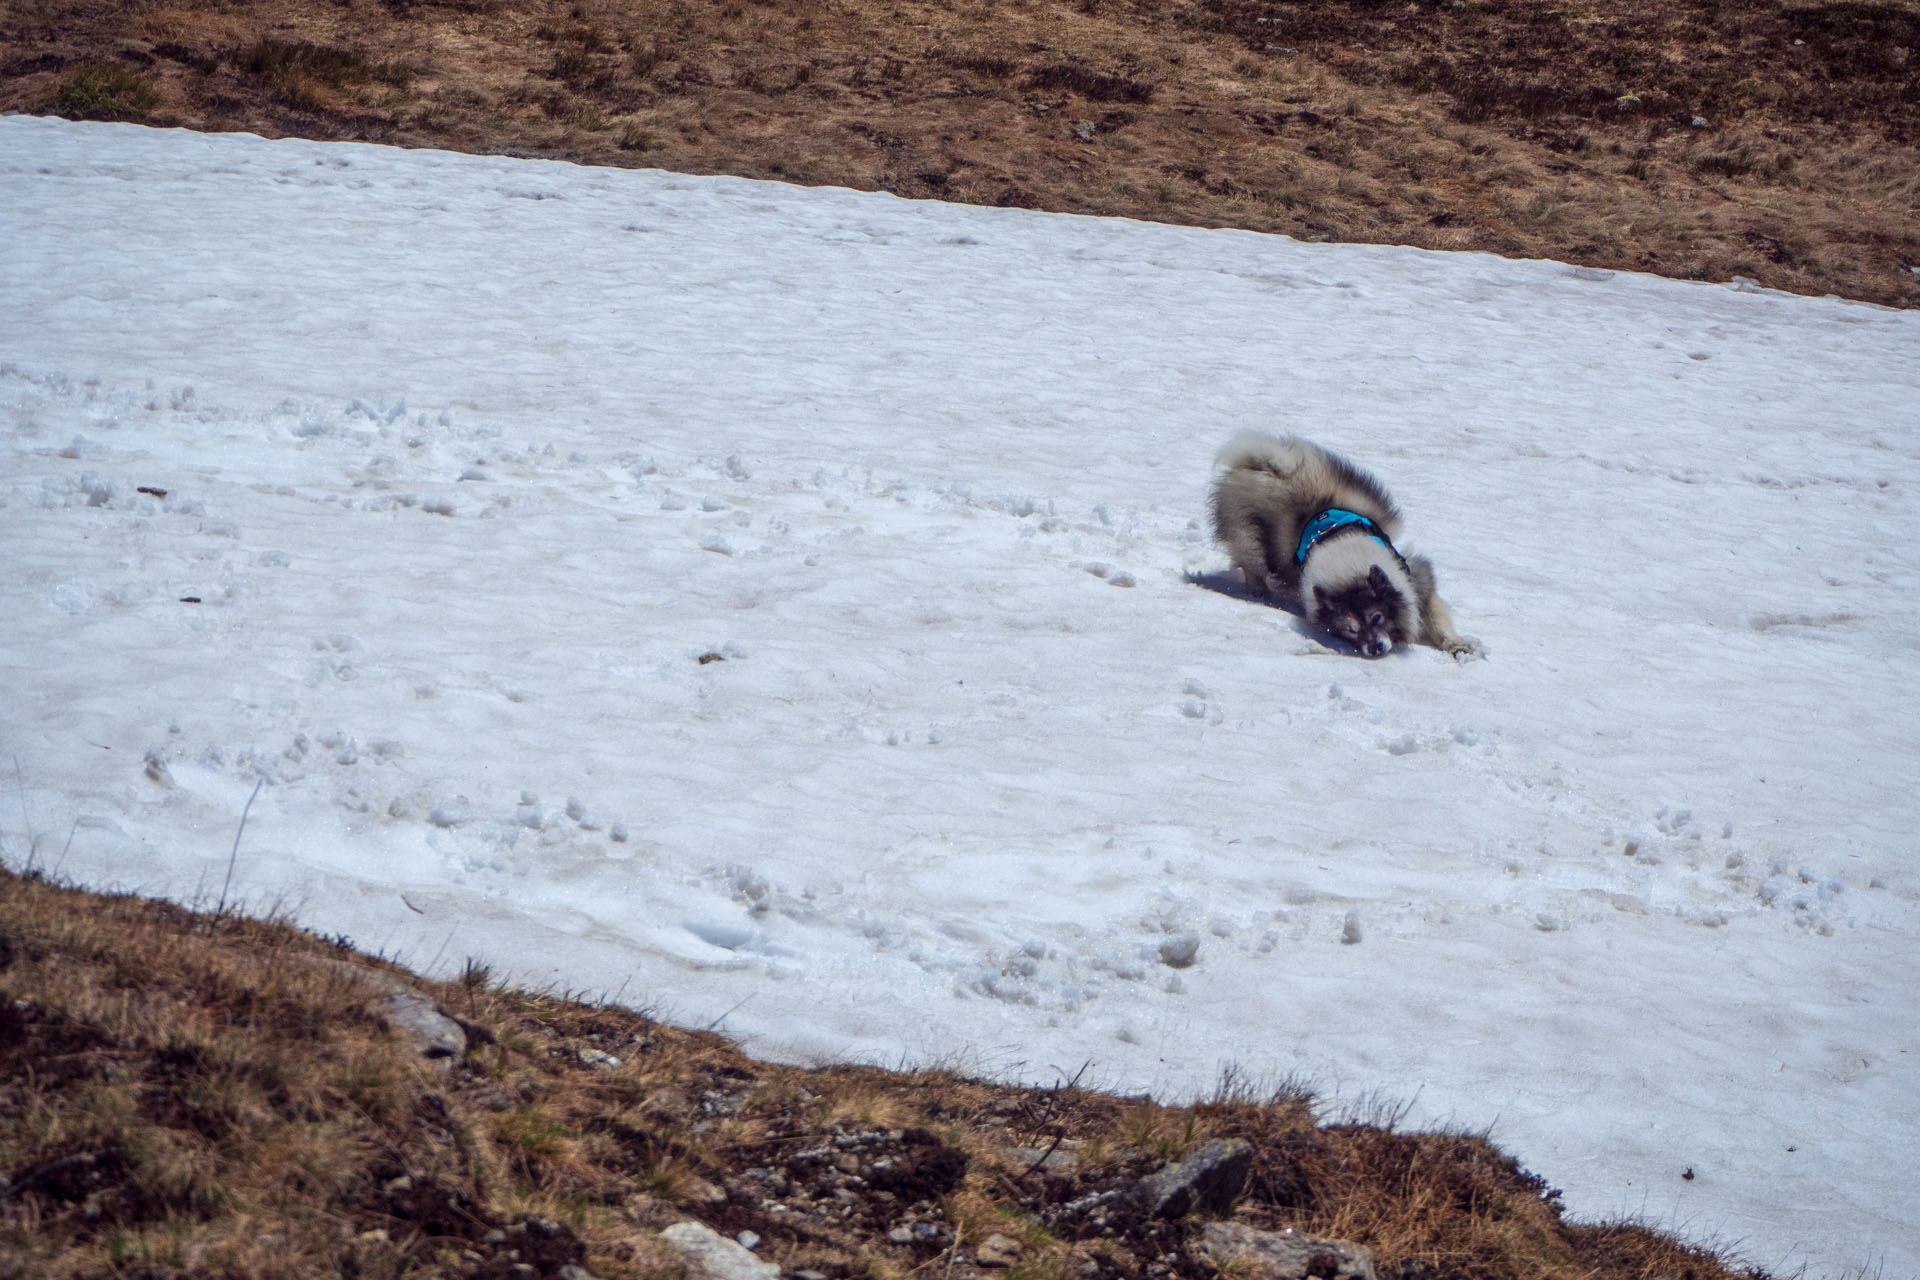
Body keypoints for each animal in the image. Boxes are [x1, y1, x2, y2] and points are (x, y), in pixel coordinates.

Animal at [1213, 435, 1466, 660]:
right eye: (1352, 630)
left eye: (1377, 617)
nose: (1374, 648)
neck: (1351, 567)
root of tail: (1260, 466)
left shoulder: (1416, 579)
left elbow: (1437, 619)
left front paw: (1457, 646)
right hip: (1248, 535)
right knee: (1252, 565)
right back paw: (1260, 593)